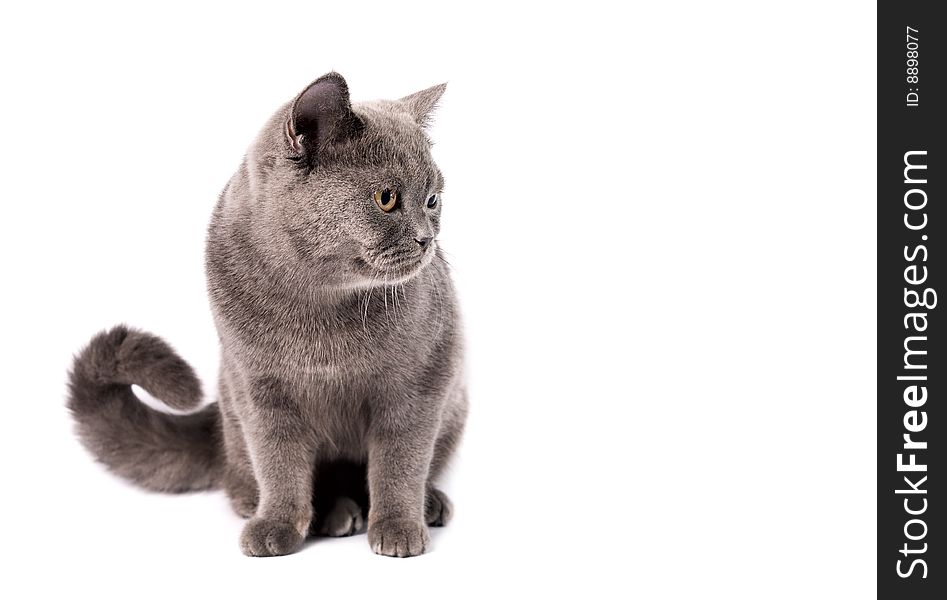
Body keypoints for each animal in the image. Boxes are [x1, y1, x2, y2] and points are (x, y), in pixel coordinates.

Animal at [66, 74, 466, 556]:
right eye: (386, 199)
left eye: (432, 200)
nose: (427, 240)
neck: (319, 306)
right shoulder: (259, 387)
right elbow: (279, 463)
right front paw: (276, 525)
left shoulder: (419, 382)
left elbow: (400, 461)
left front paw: (399, 528)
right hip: (233, 411)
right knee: (246, 477)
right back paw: (327, 514)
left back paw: (425, 504)